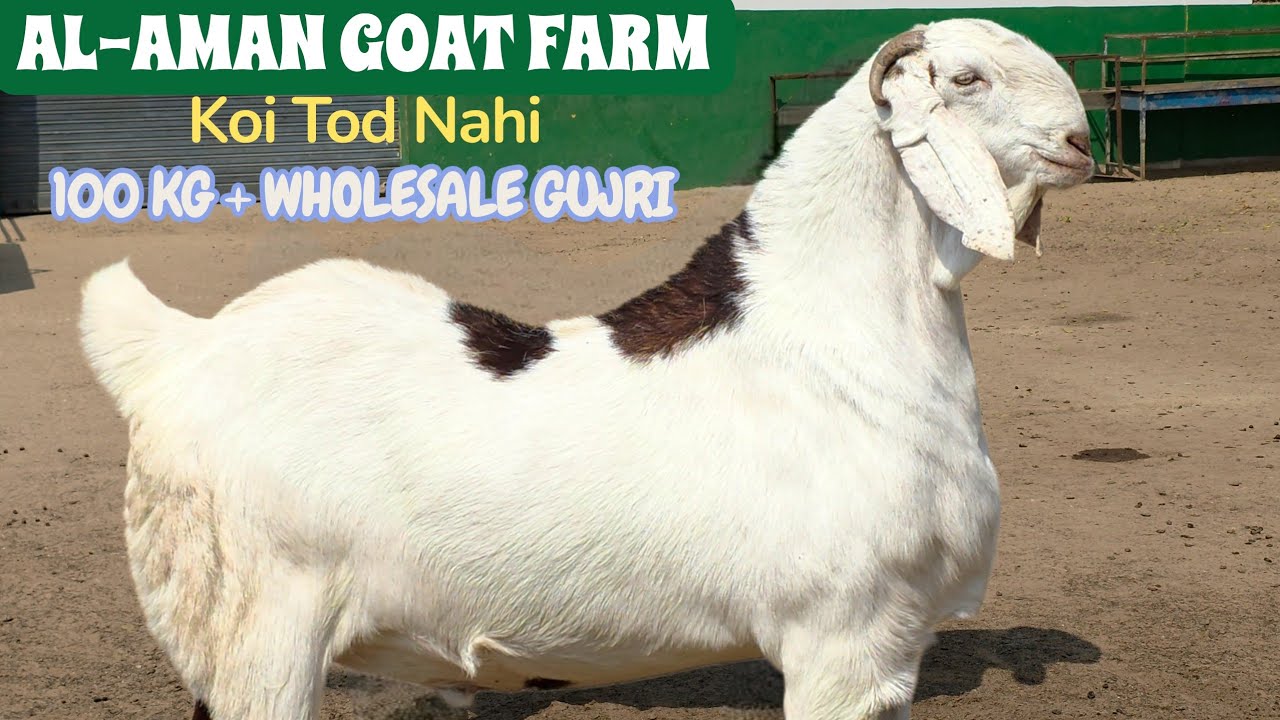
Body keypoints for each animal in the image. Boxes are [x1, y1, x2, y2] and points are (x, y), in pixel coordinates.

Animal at [80, 18, 1092, 720]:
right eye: (966, 78)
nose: (1083, 141)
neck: (824, 337)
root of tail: (177, 350)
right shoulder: (846, 638)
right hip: (261, 631)